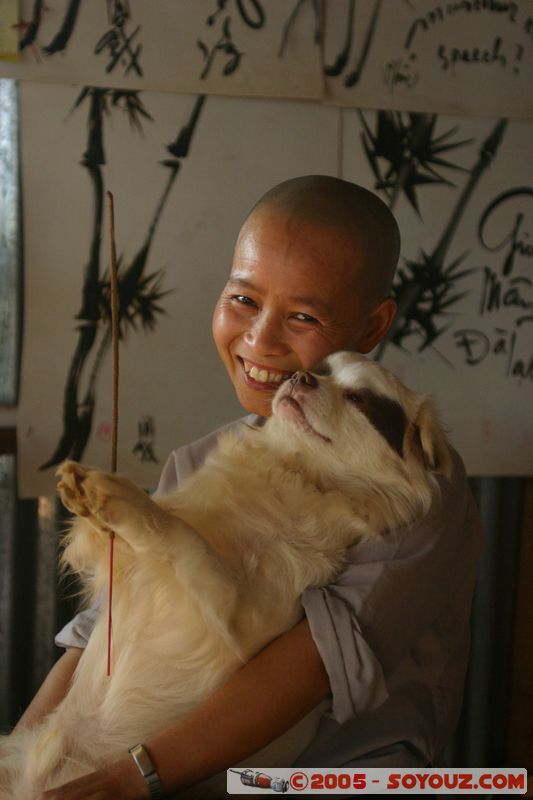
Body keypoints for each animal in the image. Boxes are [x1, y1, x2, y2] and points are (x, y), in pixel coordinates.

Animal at [0, 352, 450, 800]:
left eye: (358, 398)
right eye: (321, 369)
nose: (301, 376)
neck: (296, 468)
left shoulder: (243, 620)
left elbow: (183, 537)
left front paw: (119, 495)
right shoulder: (125, 562)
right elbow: (117, 537)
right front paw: (86, 494)